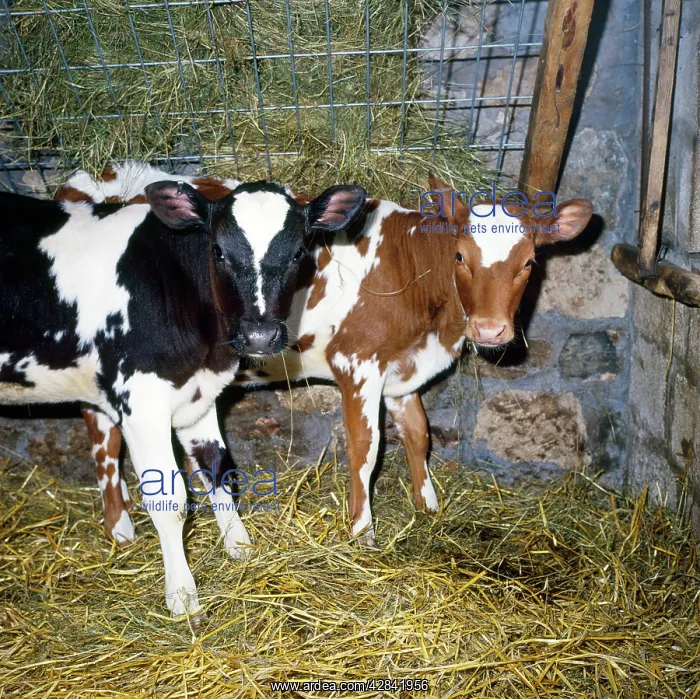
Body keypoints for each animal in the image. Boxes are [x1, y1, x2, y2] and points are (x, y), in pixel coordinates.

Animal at [0, 175, 366, 617]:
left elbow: (220, 471)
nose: (259, 336)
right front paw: (182, 594)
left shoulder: (199, 397)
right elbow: (170, 501)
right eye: (218, 251)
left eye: (299, 251)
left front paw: (240, 548)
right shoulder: (141, 404)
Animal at [71, 170, 593, 549]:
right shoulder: (357, 363)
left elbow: (419, 435)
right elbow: (366, 448)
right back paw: (119, 528)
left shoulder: (401, 371)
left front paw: (428, 506)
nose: (489, 329)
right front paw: (363, 531)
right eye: (461, 256)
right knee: (103, 438)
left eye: (530, 262)